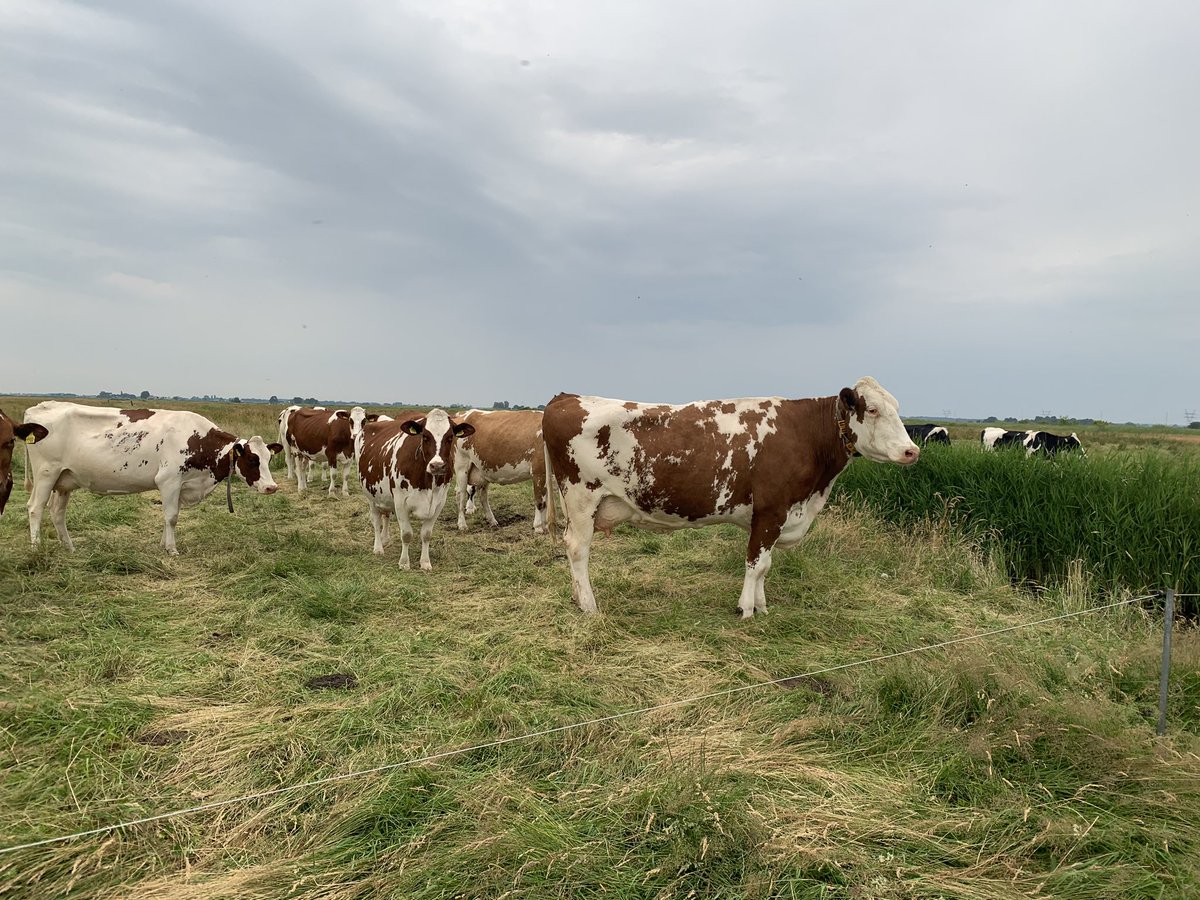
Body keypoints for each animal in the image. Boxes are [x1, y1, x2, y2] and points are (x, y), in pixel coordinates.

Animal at [22, 403, 284, 556]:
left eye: (269, 458)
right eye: (252, 460)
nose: (271, 487)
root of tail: (39, 407)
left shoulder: (180, 486)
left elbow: (169, 517)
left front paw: (163, 544)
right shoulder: (168, 480)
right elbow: (172, 517)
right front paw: (172, 549)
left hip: (64, 480)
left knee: (57, 512)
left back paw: (70, 547)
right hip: (46, 473)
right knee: (35, 508)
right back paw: (36, 549)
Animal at [350, 408, 472, 571]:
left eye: (450, 437)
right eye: (425, 436)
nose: (437, 466)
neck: (428, 482)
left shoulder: (439, 503)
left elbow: (426, 534)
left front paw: (425, 562)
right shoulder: (401, 502)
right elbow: (407, 534)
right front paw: (404, 563)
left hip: (384, 495)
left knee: (386, 515)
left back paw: (385, 538)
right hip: (370, 495)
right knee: (376, 521)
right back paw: (378, 547)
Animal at [544, 374, 916, 619]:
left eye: (897, 408)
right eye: (872, 410)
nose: (912, 451)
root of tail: (566, 397)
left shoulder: (775, 516)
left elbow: (766, 565)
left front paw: (762, 606)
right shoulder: (771, 510)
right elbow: (756, 563)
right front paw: (747, 609)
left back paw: (578, 599)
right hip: (581, 498)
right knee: (577, 549)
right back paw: (589, 605)